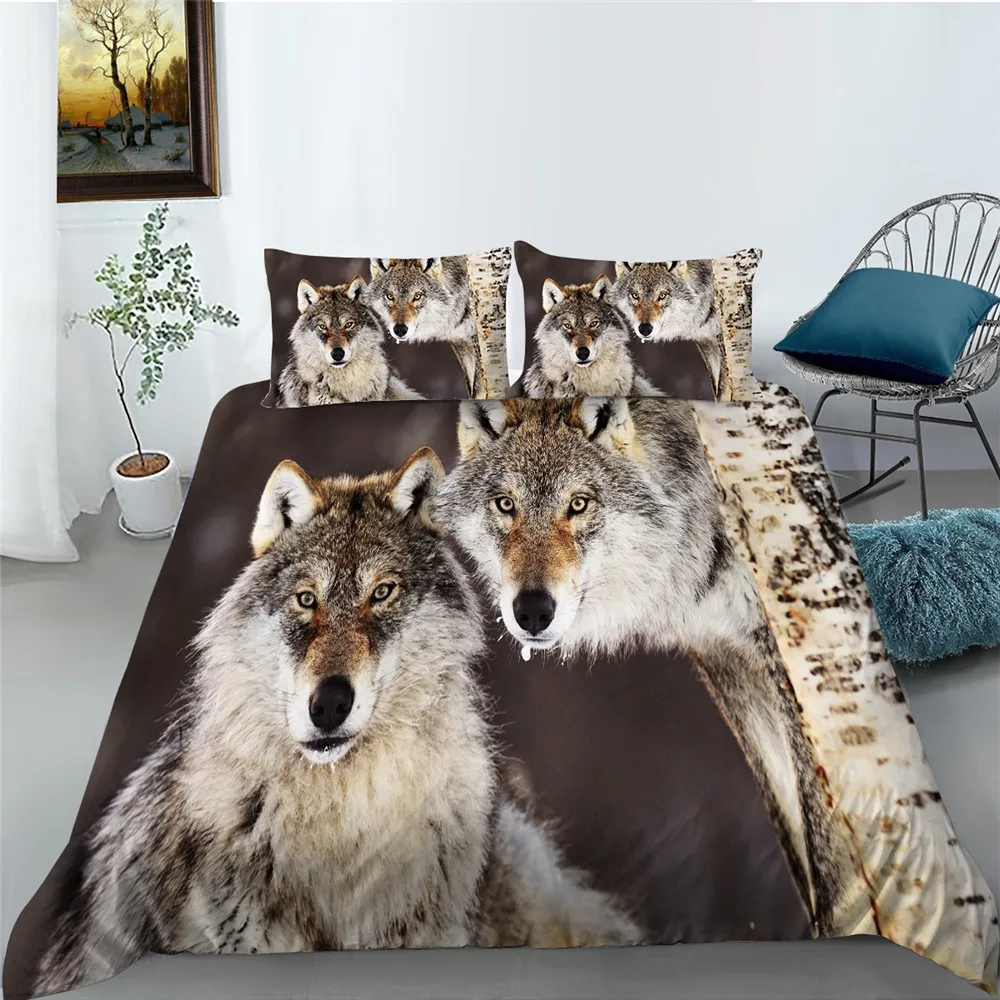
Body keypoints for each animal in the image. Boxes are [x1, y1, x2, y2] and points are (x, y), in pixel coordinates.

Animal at [367, 257, 485, 396]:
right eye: (390, 296)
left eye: (417, 296)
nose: (400, 330)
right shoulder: (460, 342)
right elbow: (471, 387)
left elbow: (479, 386)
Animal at [435, 397, 850, 938]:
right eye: (506, 505)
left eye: (579, 504)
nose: (532, 611)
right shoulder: (730, 661)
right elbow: (797, 840)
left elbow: (824, 848)